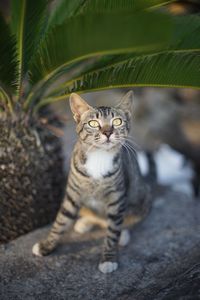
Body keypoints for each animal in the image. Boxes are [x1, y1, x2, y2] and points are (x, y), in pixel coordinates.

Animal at [32, 91, 150, 274]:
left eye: (117, 121)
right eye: (93, 123)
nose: (107, 132)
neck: (99, 157)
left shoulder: (116, 198)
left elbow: (112, 232)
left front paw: (108, 258)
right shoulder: (72, 194)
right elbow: (60, 221)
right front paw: (47, 245)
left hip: (142, 196)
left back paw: (122, 234)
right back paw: (85, 222)